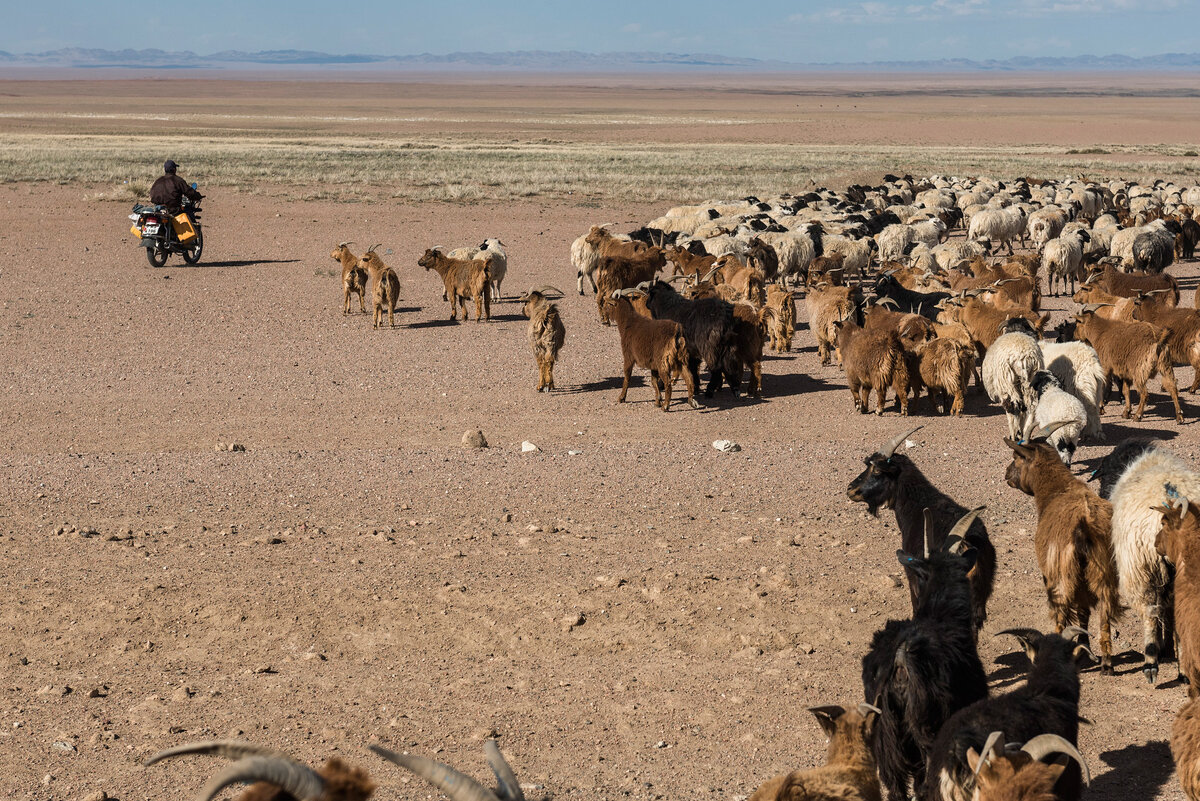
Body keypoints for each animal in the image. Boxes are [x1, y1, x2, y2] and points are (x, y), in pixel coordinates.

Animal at [1003, 424, 1123, 676]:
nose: (1007, 475)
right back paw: (1106, 664)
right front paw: (1084, 647)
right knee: (1104, 617)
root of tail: (1083, 526)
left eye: (1016, 457)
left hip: (1062, 578)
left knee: (1061, 616)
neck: (1059, 488)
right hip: (1103, 575)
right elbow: (1084, 615)